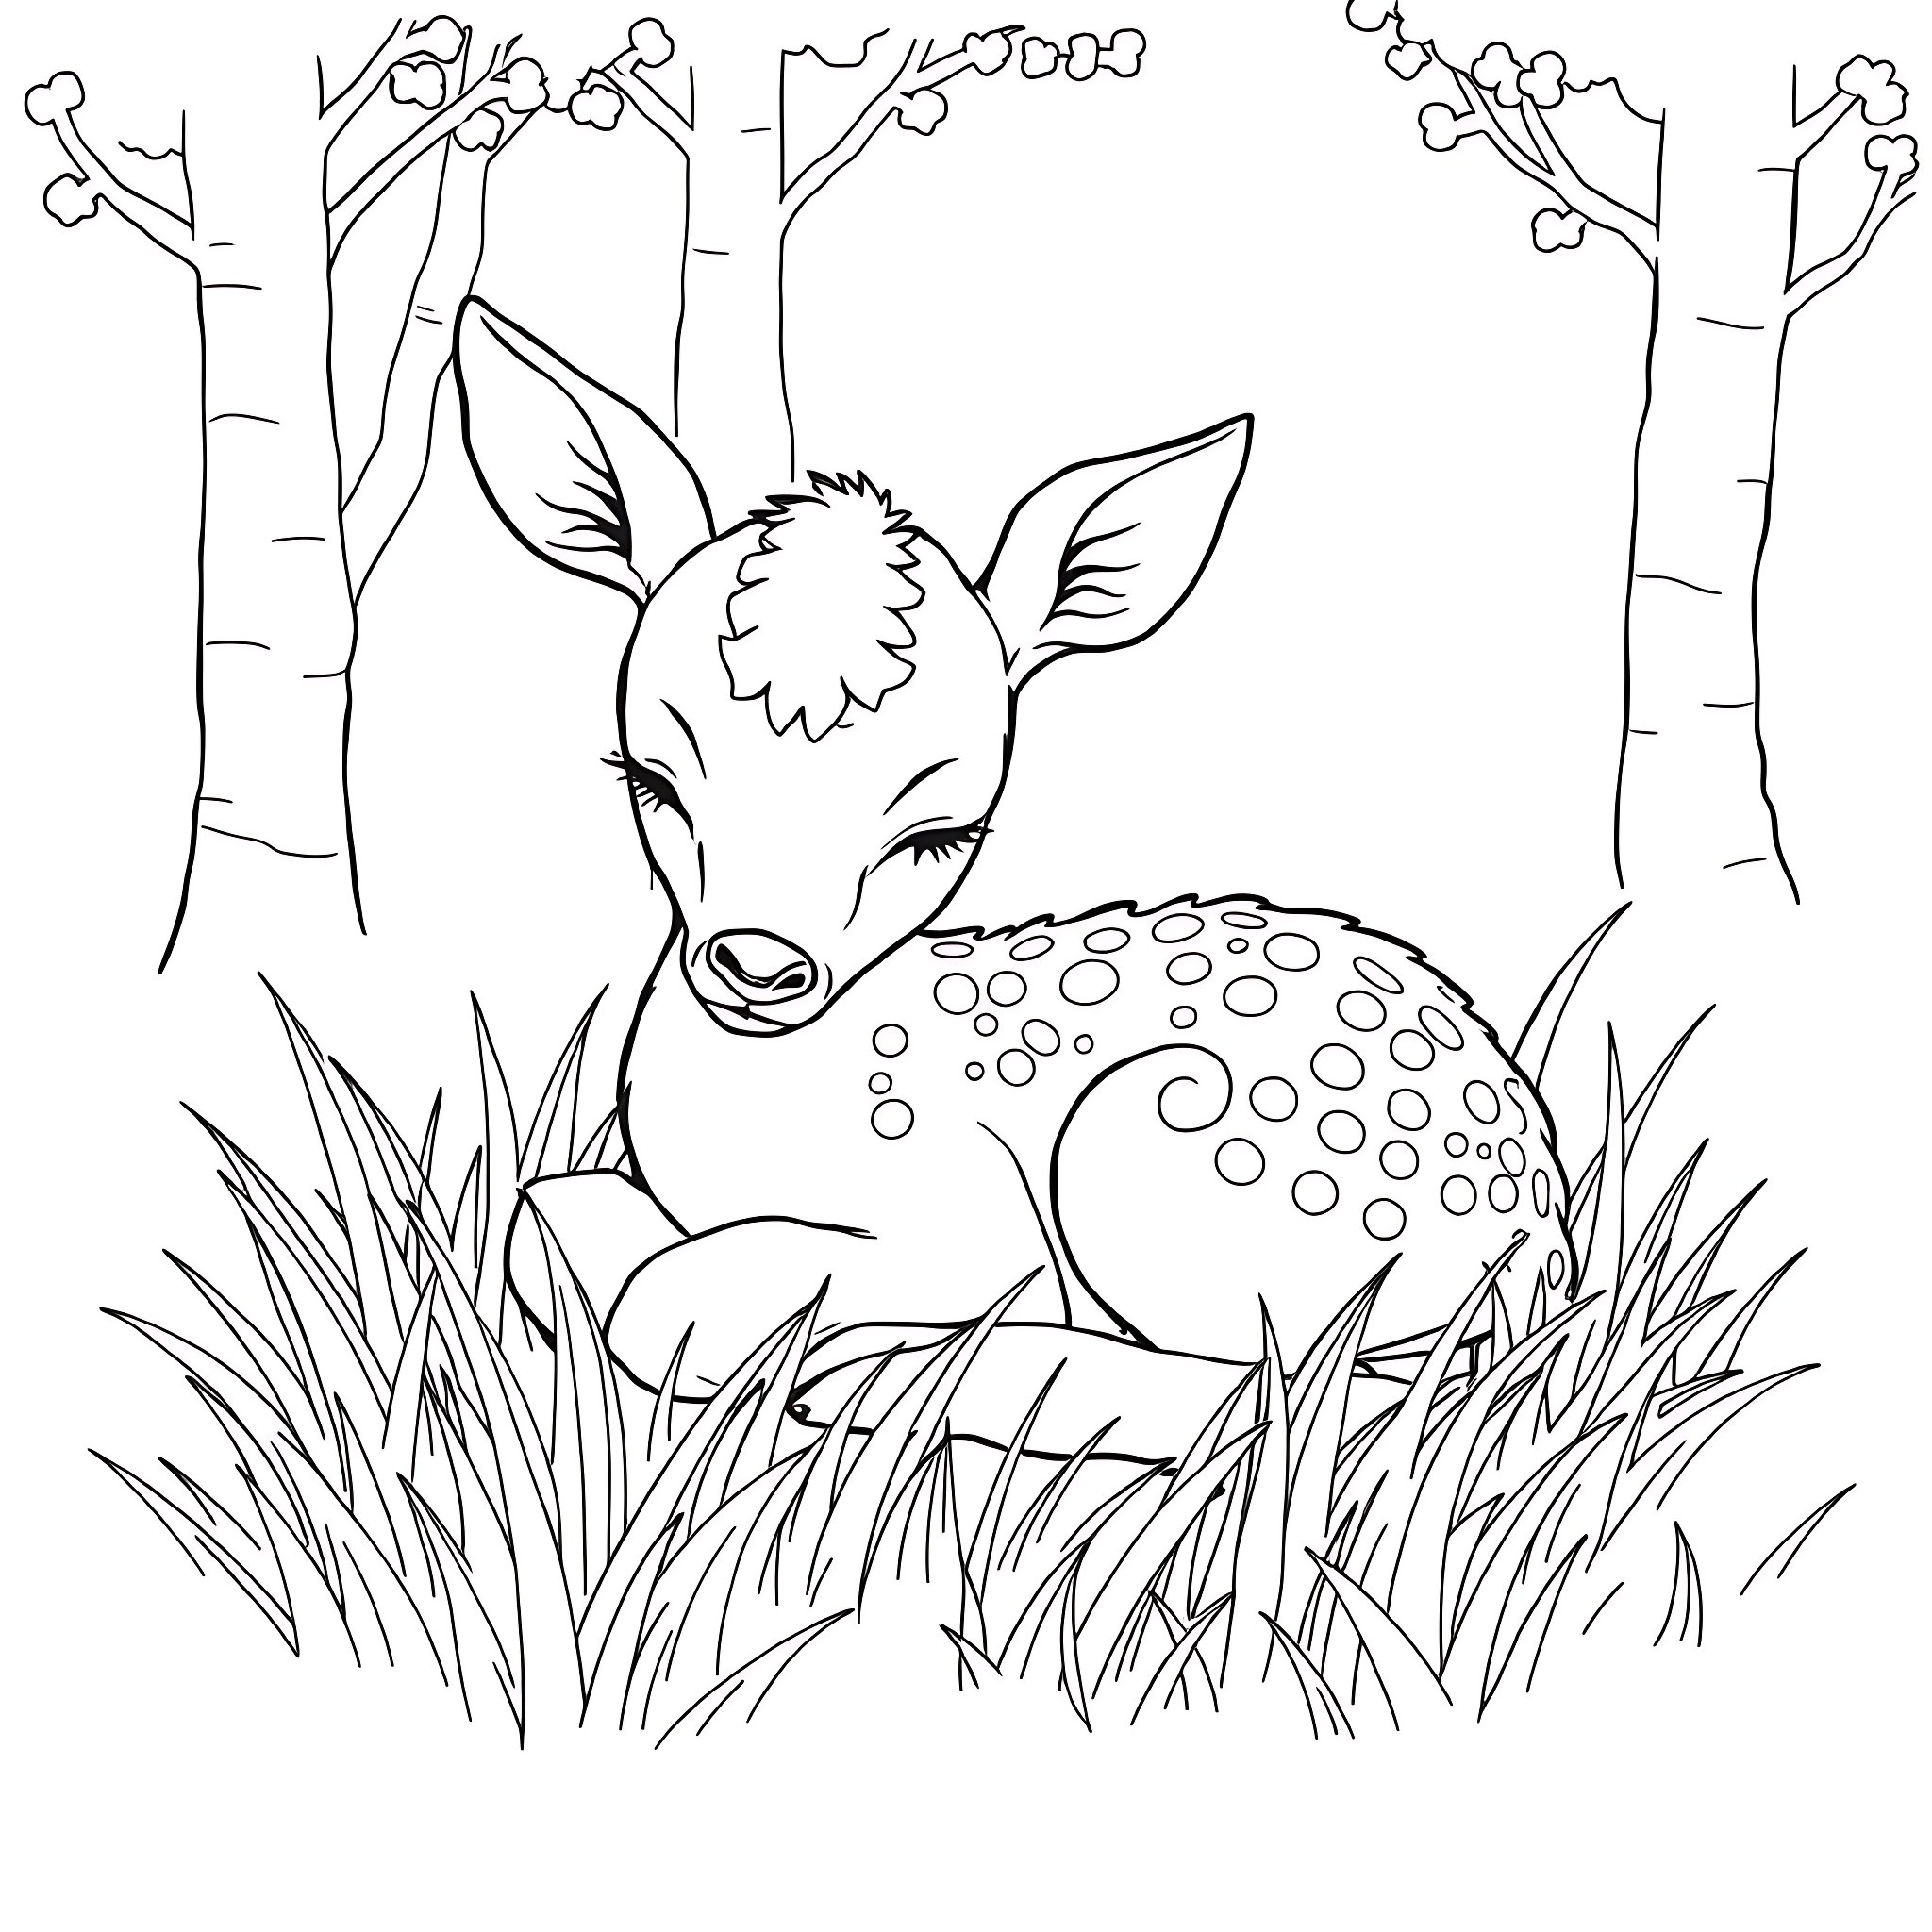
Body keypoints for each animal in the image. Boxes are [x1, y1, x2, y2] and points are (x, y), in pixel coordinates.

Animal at [455, 298, 1574, 1464]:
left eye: (944, 833)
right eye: (652, 780)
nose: (758, 967)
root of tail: (1544, 1246)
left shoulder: (978, 1221)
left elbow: (671, 1297)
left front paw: (792, 1354)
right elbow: (543, 1207)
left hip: (1177, 1146)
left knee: (1313, 1386)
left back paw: (919, 1380)